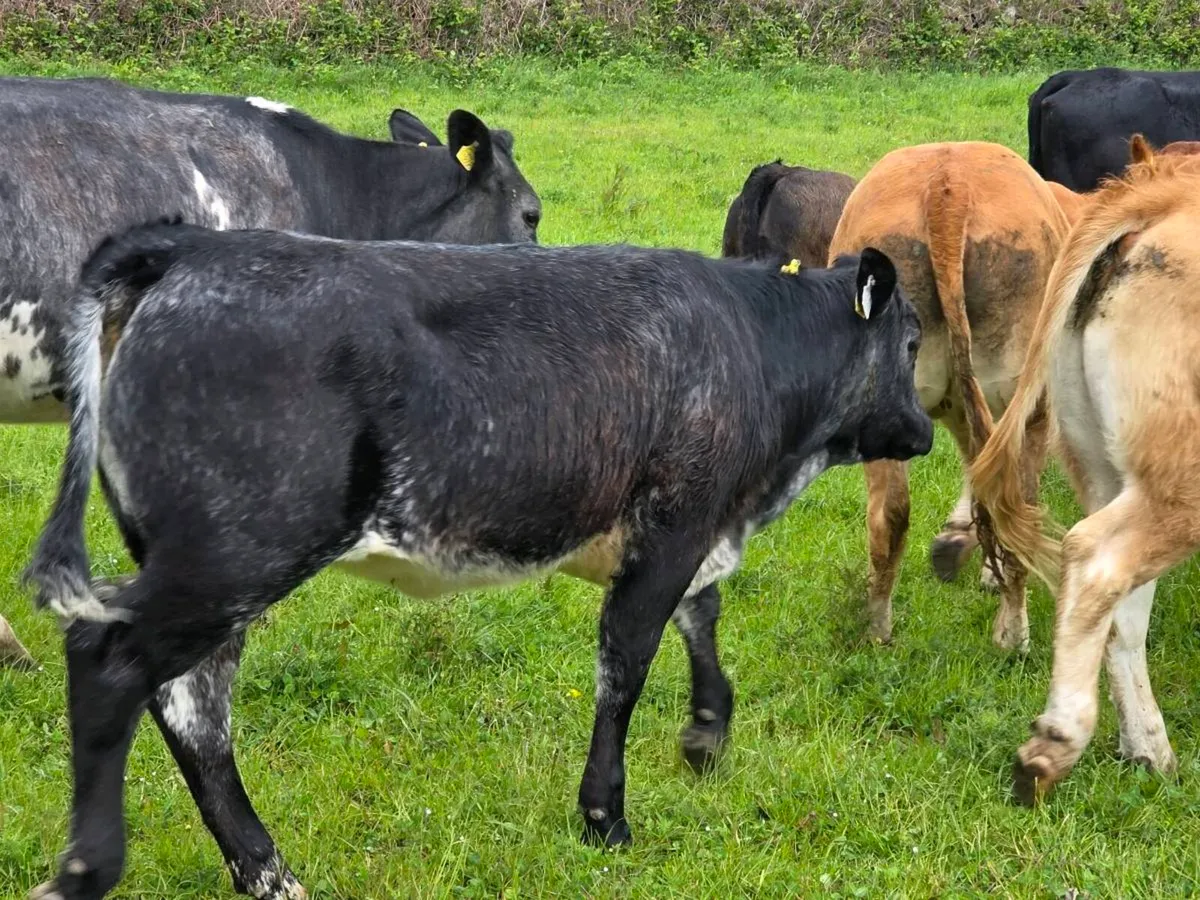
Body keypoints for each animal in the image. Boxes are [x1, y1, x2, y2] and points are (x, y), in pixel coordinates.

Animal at [22, 221, 932, 899]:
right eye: (914, 340)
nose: (924, 432)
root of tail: (188, 249)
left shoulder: (685, 533)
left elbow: (698, 620)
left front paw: (707, 732)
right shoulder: (678, 522)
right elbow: (626, 664)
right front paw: (605, 819)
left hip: (202, 563)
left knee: (191, 709)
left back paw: (267, 871)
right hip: (232, 554)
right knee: (112, 662)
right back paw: (89, 867)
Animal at [828, 142, 1072, 650]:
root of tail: (949, 184)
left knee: (890, 515)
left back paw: (878, 630)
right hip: (1028, 400)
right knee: (1018, 502)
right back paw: (1013, 634)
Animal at [971, 136, 1200, 804]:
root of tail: (1164, 192)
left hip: (1112, 470)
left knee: (1121, 612)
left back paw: (1148, 749)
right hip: (1181, 479)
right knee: (1098, 563)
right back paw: (1054, 746)